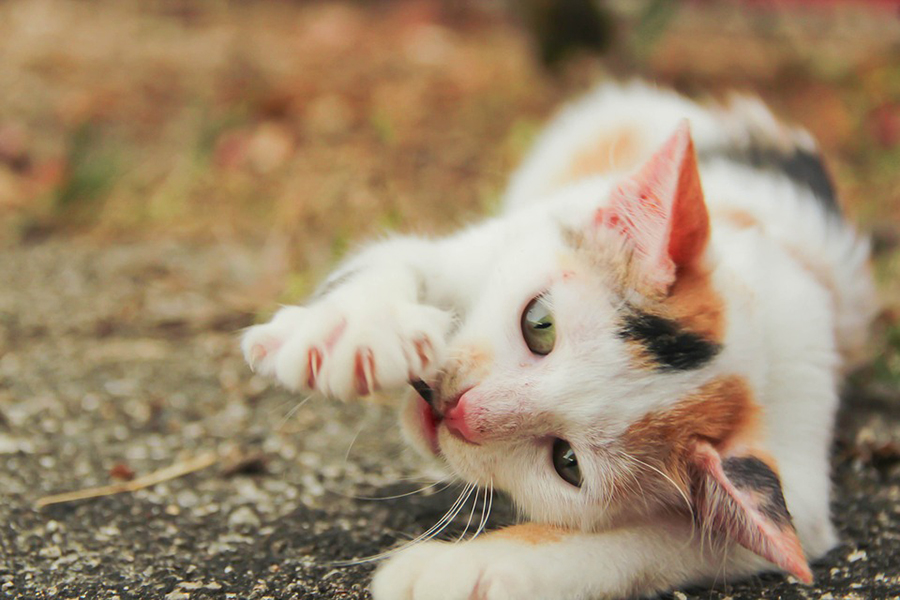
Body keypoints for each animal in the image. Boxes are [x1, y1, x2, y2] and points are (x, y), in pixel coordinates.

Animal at [243, 83, 876, 600]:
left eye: (566, 462)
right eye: (539, 325)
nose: (457, 411)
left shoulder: (801, 494)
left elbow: (659, 543)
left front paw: (457, 569)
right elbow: (402, 258)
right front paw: (353, 331)